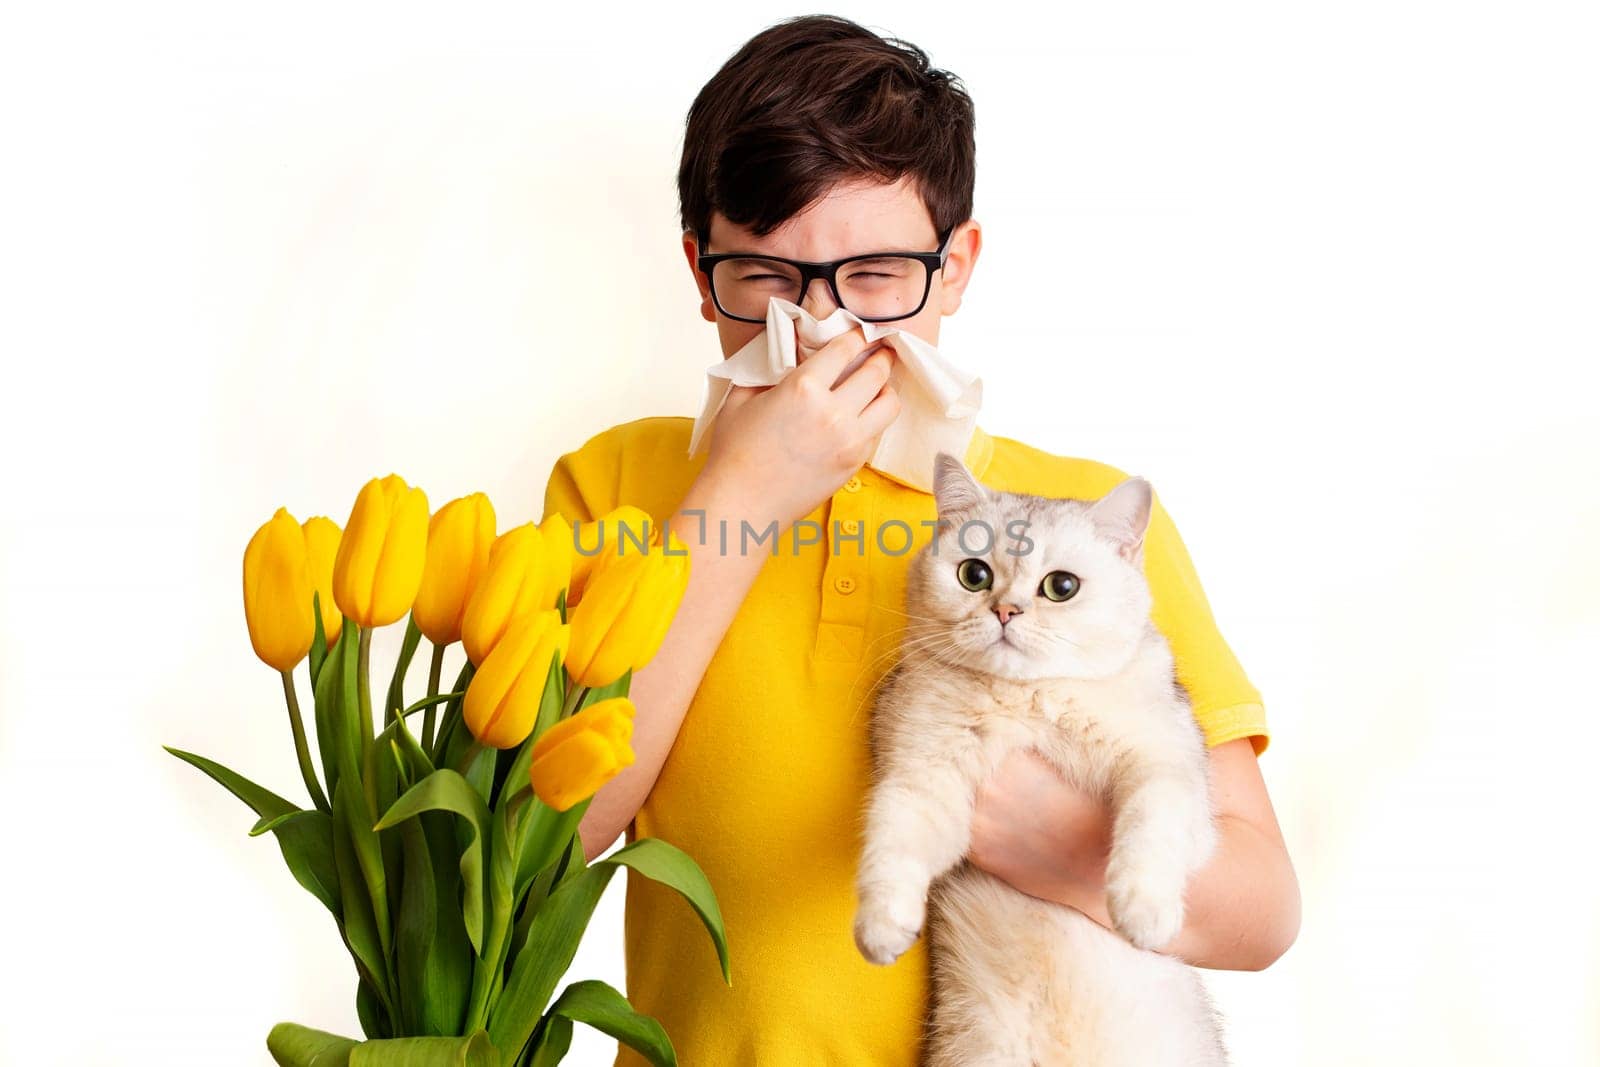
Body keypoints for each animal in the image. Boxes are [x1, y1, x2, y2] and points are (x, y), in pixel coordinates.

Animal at [857, 454, 1228, 1067]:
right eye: (974, 575)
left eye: (1061, 587)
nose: (1006, 610)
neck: (1025, 698)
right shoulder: (920, 774)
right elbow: (893, 844)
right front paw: (882, 924)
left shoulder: (1169, 767)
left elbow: (1151, 823)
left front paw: (1143, 909)